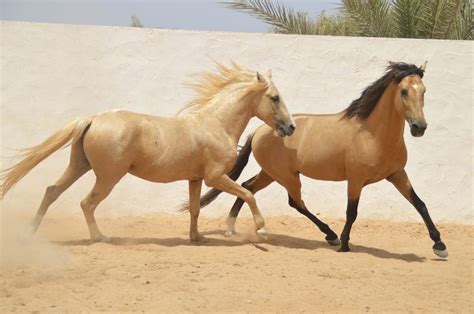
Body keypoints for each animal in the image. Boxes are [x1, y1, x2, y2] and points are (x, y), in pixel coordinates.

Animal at [0, 62, 296, 242]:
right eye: (274, 98)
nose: (291, 127)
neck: (215, 124)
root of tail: (93, 118)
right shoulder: (215, 177)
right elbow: (248, 194)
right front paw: (262, 231)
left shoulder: (196, 178)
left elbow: (194, 209)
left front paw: (196, 238)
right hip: (107, 176)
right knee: (86, 203)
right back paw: (100, 237)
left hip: (79, 165)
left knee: (52, 191)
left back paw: (30, 233)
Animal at [196, 61, 448, 258]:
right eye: (404, 91)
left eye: (424, 91)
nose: (419, 127)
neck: (372, 134)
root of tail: (259, 130)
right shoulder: (356, 179)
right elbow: (352, 212)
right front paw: (345, 244)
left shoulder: (396, 174)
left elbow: (420, 204)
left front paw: (439, 245)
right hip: (287, 176)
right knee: (294, 202)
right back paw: (331, 235)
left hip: (271, 174)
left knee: (247, 187)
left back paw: (231, 228)